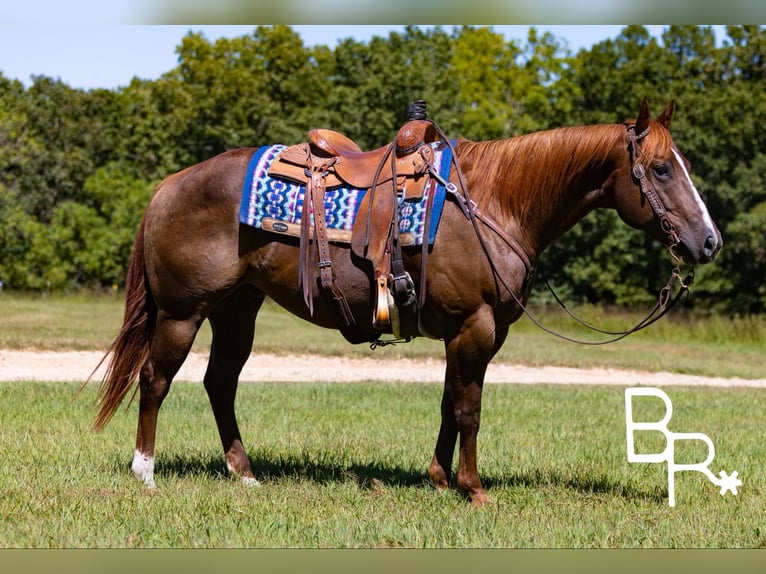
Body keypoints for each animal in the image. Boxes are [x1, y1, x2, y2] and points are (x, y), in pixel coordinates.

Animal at [90, 98, 721, 505]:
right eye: (661, 169)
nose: (709, 242)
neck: (495, 201)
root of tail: (170, 185)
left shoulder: (470, 332)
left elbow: (449, 403)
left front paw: (440, 478)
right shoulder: (475, 326)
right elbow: (469, 409)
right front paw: (473, 489)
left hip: (237, 310)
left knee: (220, 383)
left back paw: (243, 473)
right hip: (183, 313)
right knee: (155, 379)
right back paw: (145, 472)